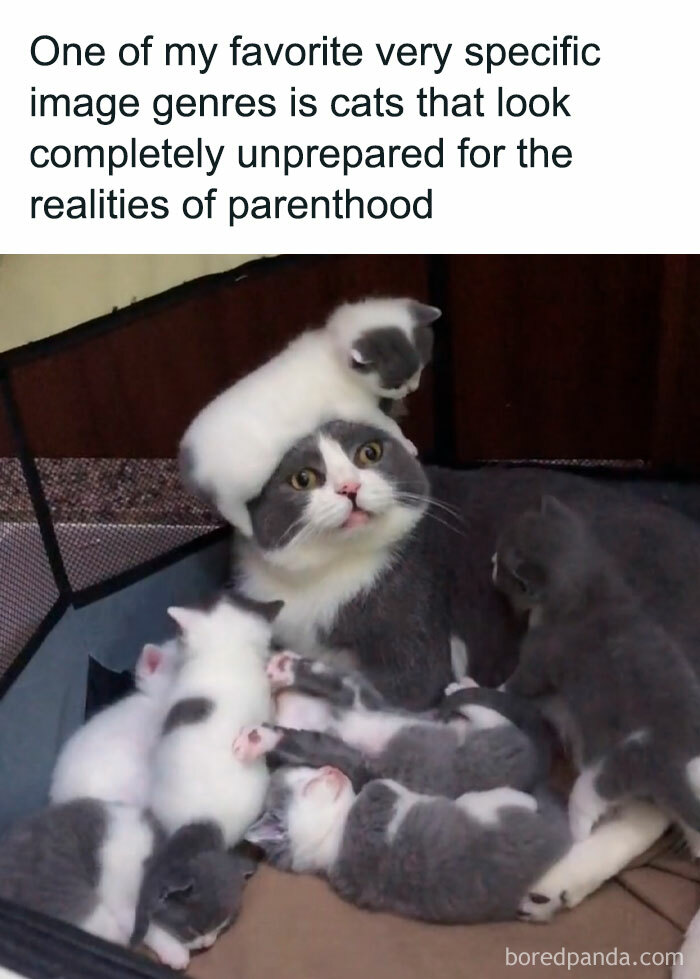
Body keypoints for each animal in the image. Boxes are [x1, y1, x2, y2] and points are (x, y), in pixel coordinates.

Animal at [180, 297, 440, 536]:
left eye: (420, 369)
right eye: (395, 384)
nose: (412, 388)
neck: (333, 350)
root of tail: (187, 456)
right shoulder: (356, 407)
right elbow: (386, 422)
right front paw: (406, 443)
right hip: (241, 480)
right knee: (229, 505)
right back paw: (246, 527)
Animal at [233, 419, 700, 710]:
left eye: (369, 453)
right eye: (303, 479)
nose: (349, 487)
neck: (323, 574)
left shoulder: (414, 621)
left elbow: (405, 681)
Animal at [245, 651, 551, 795]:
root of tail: (538, 765)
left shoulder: (358, 705)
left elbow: (326, 684)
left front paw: (257, 738)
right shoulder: (355, 749)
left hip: (492, 754)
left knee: (494, 719)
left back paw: (460, 687)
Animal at [494, 495, 700, 851]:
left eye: (503, 562)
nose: (491, 560)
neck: (588, 587)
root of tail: (672, 757)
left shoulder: (542, 651)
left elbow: (519, 683)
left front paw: (473, 686)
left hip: (606, 771)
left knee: (586, 803)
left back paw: (575, 835)